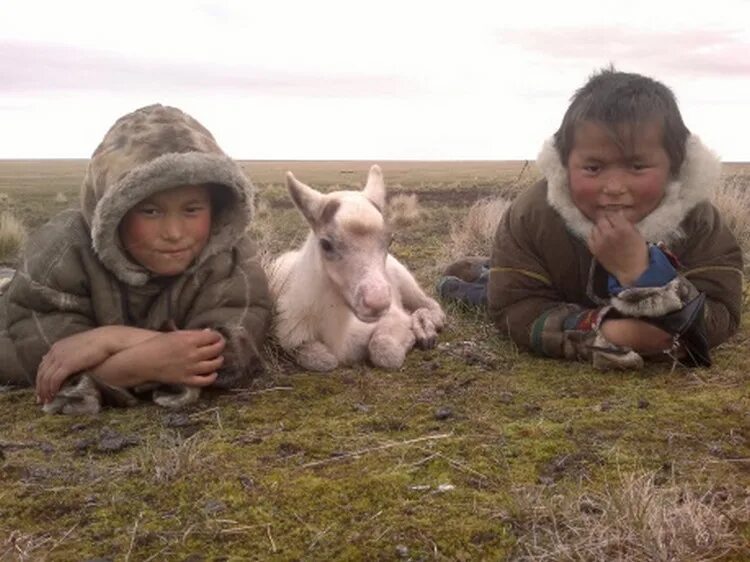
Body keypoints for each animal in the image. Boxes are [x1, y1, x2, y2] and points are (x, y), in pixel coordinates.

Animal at [270, 164, 446, 370]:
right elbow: (324, 360)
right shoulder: (289, 334)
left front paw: (412, 334)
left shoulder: (393, 316)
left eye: (390, 240)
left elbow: (384, 351)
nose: (377, 303)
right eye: (325, 244)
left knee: (430, 304)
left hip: (407, 283)